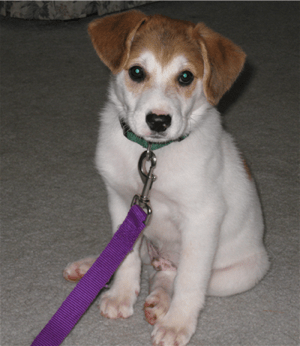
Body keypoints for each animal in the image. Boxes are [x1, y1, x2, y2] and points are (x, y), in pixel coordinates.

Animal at [64, 10, 270, 346]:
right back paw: (91, 268)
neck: (152, 153)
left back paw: (160, 301)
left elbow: (189, 281)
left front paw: (176, 323)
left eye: (186, 77)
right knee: (144, 264)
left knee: (169, 275)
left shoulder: (202, 219)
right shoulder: (123, 203)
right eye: (136, 72)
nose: (159, 121)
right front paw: (121, 294)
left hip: (239, 274)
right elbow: (125, 257)